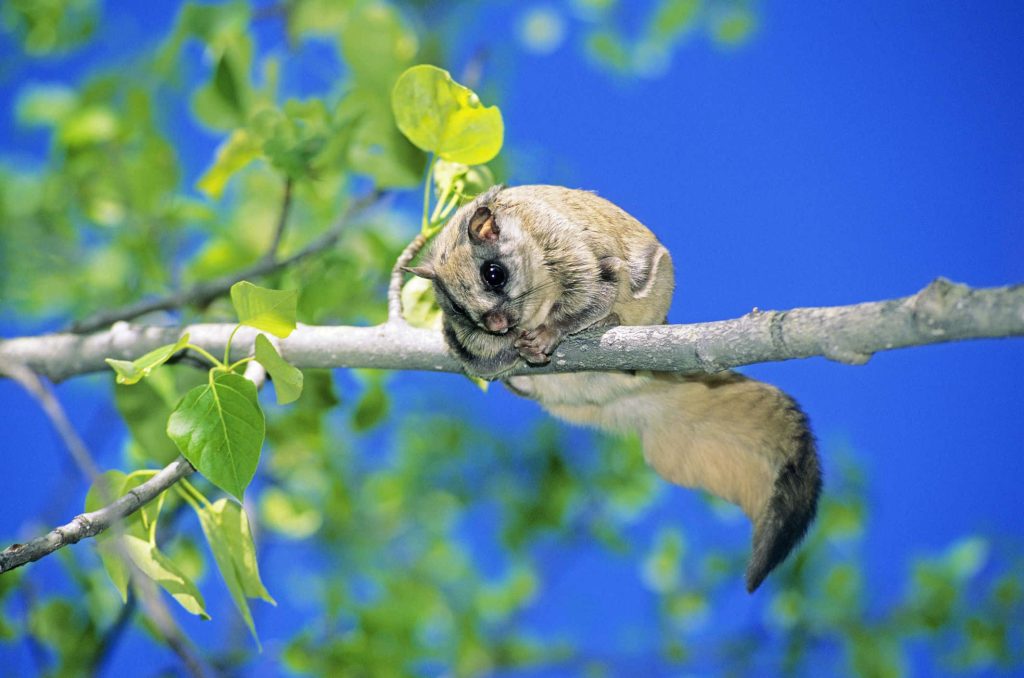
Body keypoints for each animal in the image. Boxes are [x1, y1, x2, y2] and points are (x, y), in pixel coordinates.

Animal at [406, 185, 821, 592]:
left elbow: (593, 294)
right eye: (456, 308)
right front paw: (511, 347)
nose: (494, 324)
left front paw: (548, 335)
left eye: (493, 274)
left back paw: (609, 324)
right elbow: (482, 360)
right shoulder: (469, 343)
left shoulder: (570, 251)